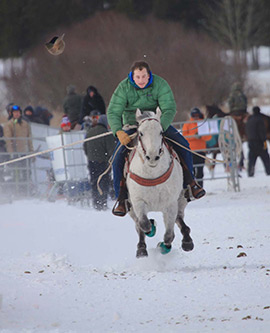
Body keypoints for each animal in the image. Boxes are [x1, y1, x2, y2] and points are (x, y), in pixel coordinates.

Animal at [125, 109, 193, 256]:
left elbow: (169, 235)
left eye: (161, 132)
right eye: (141, 133)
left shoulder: (170, 203)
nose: (152, 157)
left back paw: (187, 241)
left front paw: (163, 246)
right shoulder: (138, 202)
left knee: (179, 219)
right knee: (138, 225)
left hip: (181, 199)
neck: (152, 174)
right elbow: (144, 224)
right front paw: (151, 228)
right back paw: (141, 248)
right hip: (130, 208)